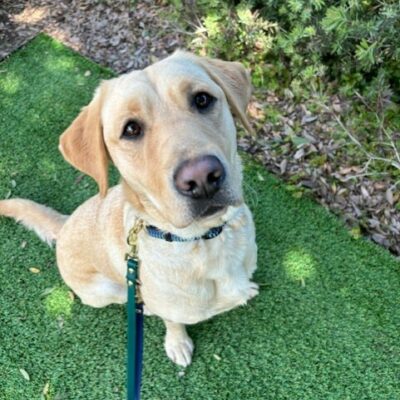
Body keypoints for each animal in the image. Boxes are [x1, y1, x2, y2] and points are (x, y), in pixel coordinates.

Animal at [0, 51, 258, 368]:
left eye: (202, 99)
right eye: (131, 129)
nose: (201, 179)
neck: (206, 241)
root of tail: (65, 223)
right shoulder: (169, 309)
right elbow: (173, 322)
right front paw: (177, 343)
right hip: (103, 290)